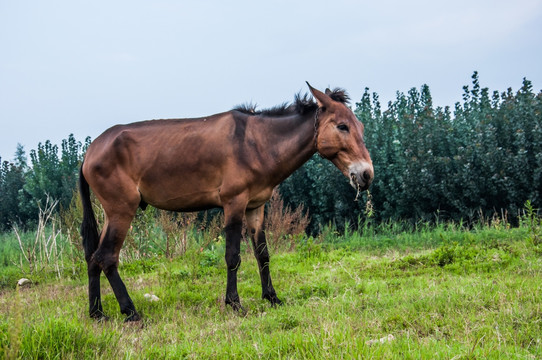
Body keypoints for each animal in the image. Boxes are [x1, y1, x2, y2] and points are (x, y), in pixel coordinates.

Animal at [79, 83, 374, 320]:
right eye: (342, 126)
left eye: (360, 127)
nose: (367, 174)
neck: (257, 143)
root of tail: (90, 152)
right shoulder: (234, 203)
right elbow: (233, 256)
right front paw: (234, 303)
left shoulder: (256, 207)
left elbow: (262, 254)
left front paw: (272, 298)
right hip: (122, 211)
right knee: (107, 258)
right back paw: (130, 312)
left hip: (111, 214)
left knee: (93, 258)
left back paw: (97, 313)